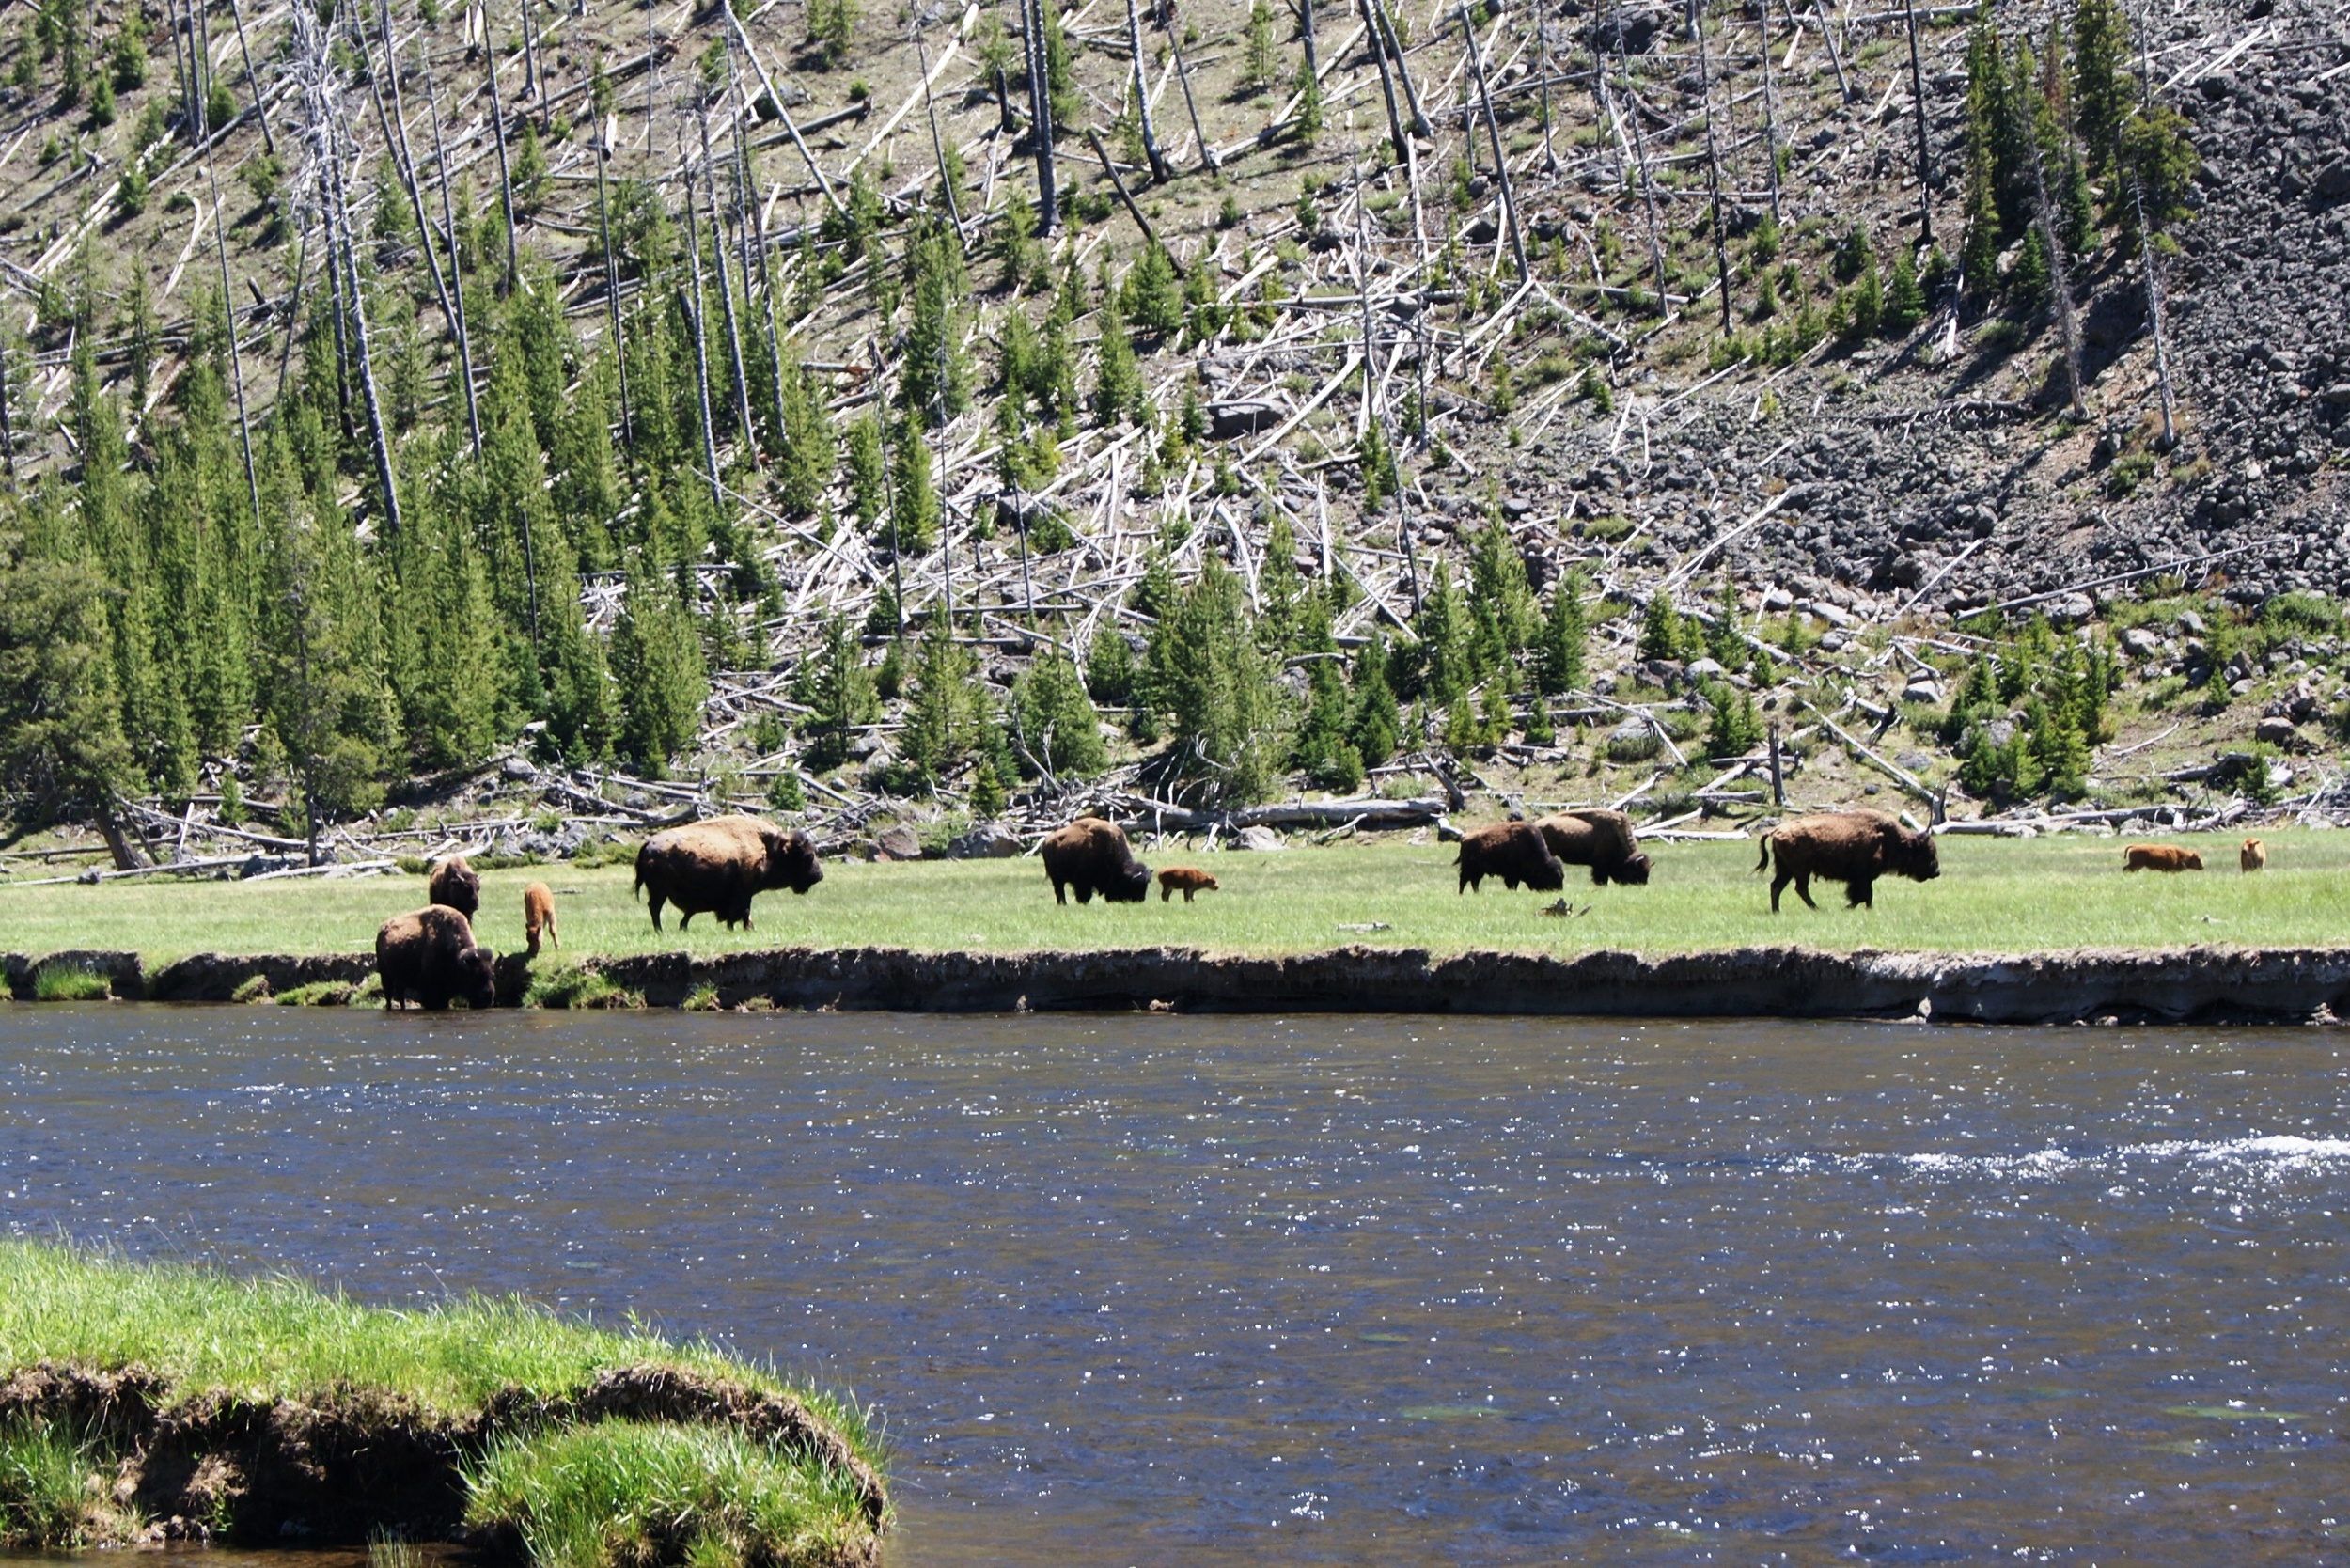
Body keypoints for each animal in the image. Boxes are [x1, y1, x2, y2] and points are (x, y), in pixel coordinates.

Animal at [373, 907, 494, 1020]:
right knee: (388, 995)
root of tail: (381, 929)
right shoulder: (430, 988)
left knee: (400, 995)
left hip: (399, 979)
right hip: (385, 975)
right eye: (474, 975)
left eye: (491, 974)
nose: (488, 997)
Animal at [634, 818, 827, 926]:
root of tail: (648, 844)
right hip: (660, 891)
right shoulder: (743, 893)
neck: (769, 848)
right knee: (655, 908)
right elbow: (743, 913)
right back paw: (660, 931)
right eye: (809, 856)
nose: (819, 875)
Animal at [1758, 808, 1936, 907]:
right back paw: (1817, 908)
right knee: (1799, 888)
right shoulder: (1863, 877)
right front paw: (1852, 907)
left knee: (1777, 887)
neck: (1887, 837)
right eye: (1927, 851)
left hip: (1786, 869)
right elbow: (1865, 895)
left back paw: (1778, 911)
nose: (1937, 871)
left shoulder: (1862, 879)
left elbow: (1864, 896)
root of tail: (1776, 831)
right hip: (1800, 870)